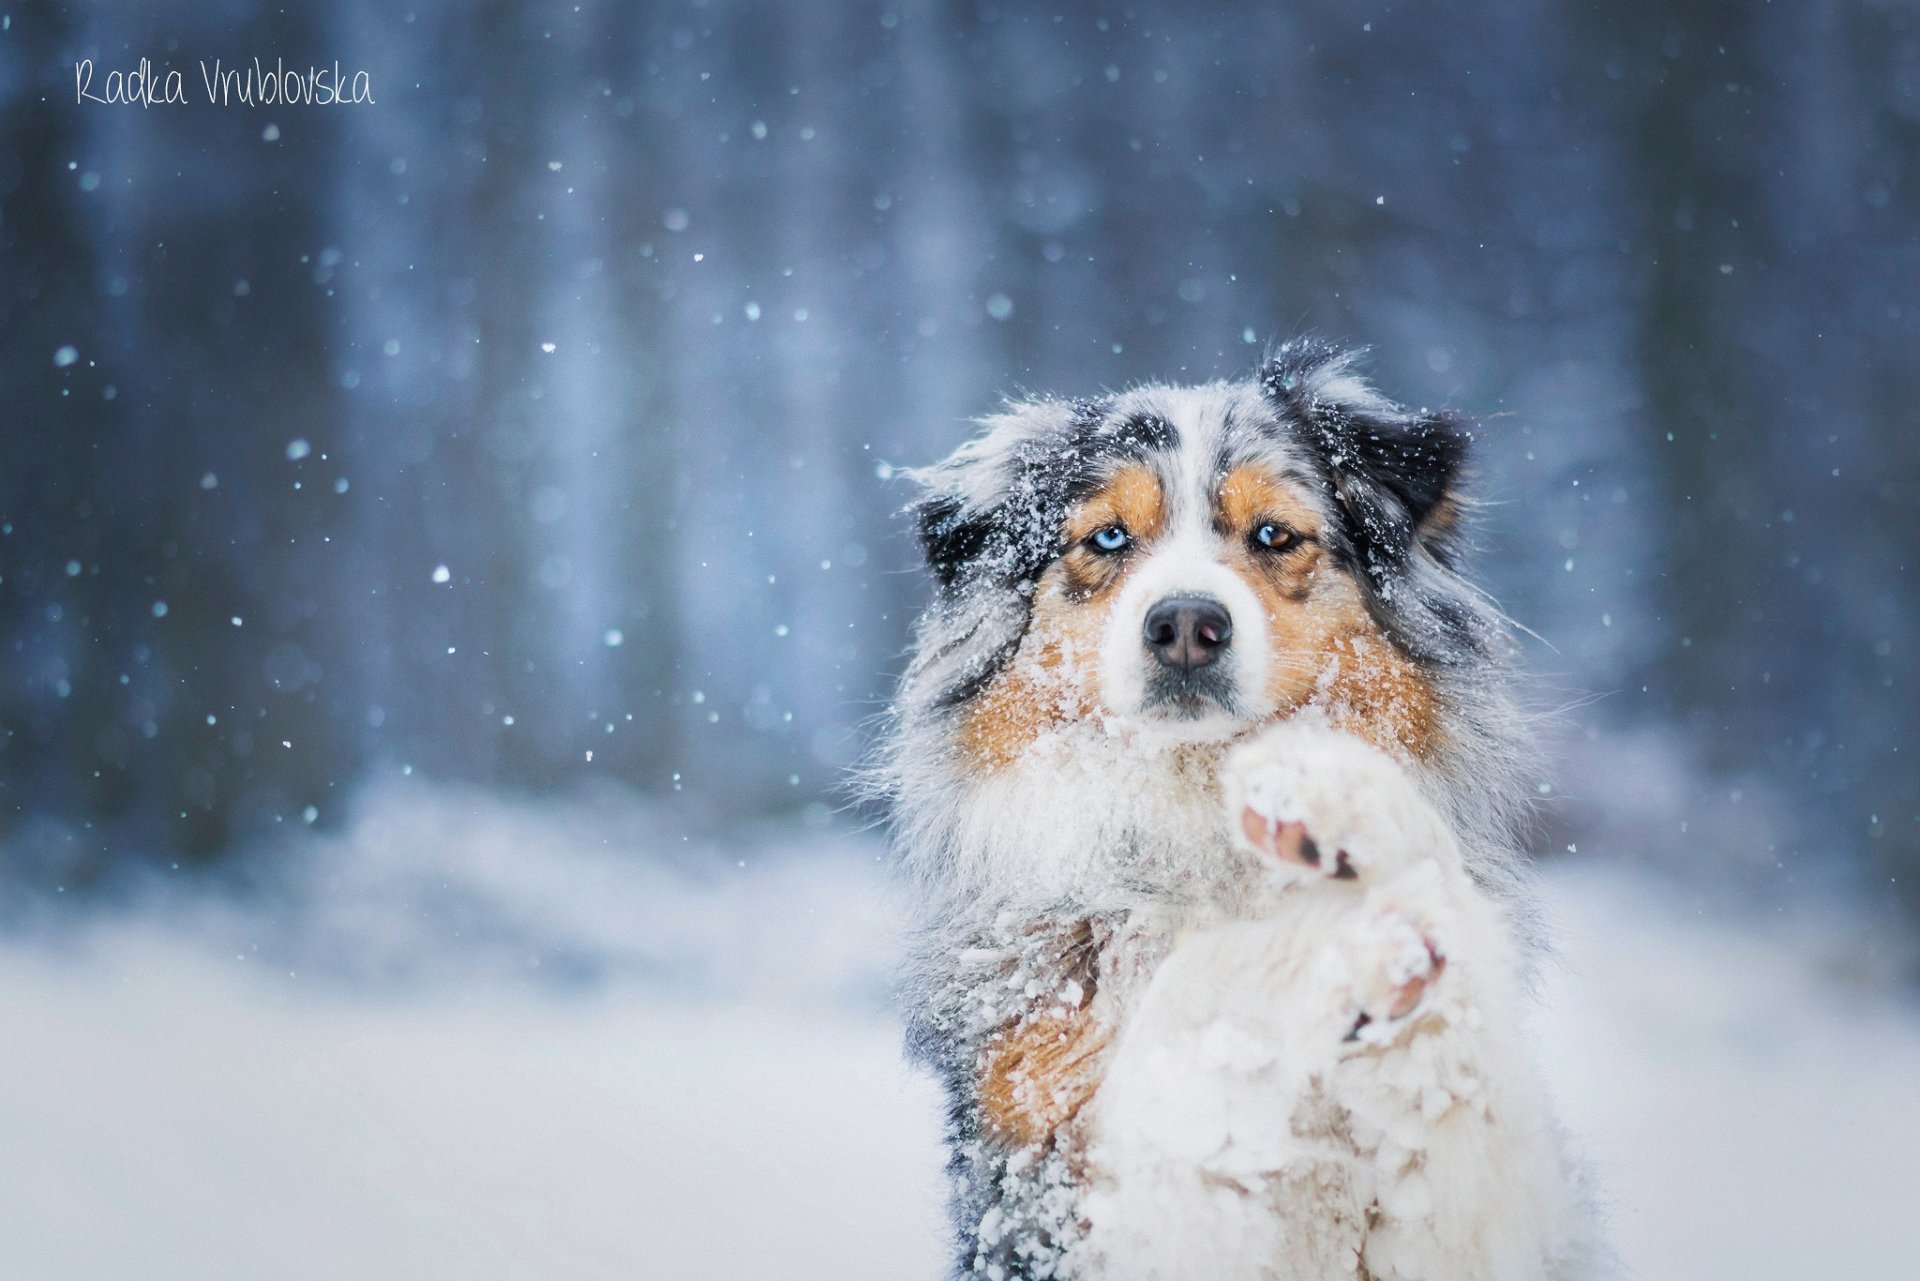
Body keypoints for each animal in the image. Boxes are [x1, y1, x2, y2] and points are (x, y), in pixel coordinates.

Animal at [879, 339, 1605, 1281]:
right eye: (1107, 536)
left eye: (1273, 534)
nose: (1186, 624)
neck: (1200, 810)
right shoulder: (1057, 1189)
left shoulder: (1462, 1227)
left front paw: (1346, 813)